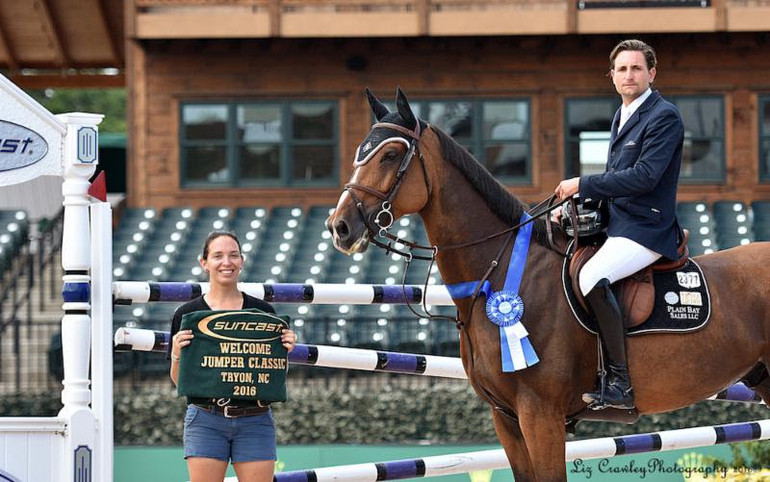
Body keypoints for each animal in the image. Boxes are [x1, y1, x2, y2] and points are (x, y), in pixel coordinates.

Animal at [328, 87, 768, 482]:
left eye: (391, 155)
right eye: (358, 154)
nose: (340, 227)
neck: (501, 271)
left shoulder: (541, 415)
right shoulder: (506, 417)